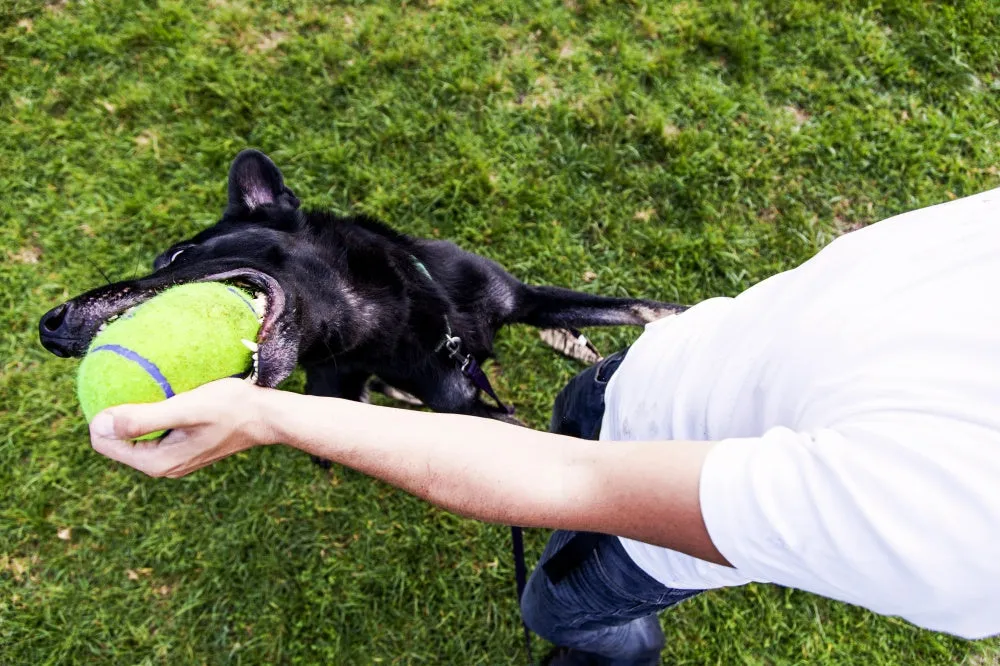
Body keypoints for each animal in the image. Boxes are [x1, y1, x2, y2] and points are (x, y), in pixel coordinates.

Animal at [35, 150, 684, 420]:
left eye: (176, 254)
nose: (50, 327)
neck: (396, 315)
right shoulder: (466, 408)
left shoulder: (520, 298)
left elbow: (648, 309)